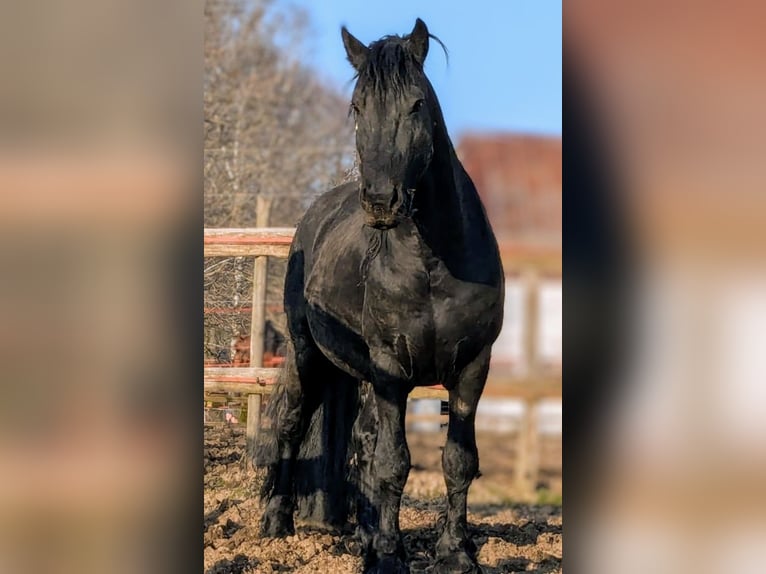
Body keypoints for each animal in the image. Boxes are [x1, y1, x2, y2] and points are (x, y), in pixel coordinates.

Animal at [260, 19, 508, 574]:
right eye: (357, 108)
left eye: (416, 104)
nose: (380, 202)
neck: (433, 264)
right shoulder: (392, 370)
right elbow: (394, 464)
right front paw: (391, 557)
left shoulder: (472, 369)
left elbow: (458, 462)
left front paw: (455, 552)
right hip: (309, 356)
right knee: (291, 426)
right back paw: (276, 523)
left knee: (362, 444)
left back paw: (362, 536)